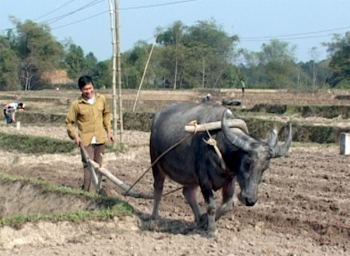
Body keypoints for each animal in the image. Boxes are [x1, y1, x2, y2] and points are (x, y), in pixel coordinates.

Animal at [149, 102, 292, 236]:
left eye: (265, 168)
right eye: (247, 163)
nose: (250, 200)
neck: (218, 144)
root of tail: (156, 118)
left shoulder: (229, 179)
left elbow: (228, 205)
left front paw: (206, 221)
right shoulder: (204, 180)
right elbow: (211, 206)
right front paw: (212, 230)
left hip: (191, 176)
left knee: (188, 192)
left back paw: (199, 220)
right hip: (156, 165)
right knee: (158, 190)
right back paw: (155, 218)